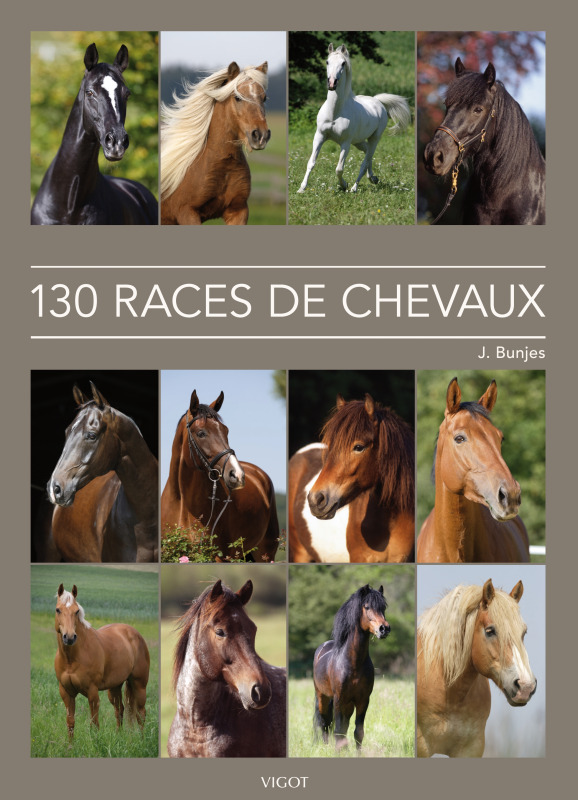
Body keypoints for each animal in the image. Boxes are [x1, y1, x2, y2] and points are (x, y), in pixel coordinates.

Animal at [54, 584, 150, 739]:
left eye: (76, 611)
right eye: (58, 610)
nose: (69, 637)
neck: (71, 659)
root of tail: (134, 633)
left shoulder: (92, 692)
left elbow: (94, 724)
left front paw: (95, 742)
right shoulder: (66, 693)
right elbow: (70, 723)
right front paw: (70, 745)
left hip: (139, 685)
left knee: (140, 714)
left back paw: (142, 740)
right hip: (114, 688)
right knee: (120, 710)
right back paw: (119, 736)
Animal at [161, 390, 279, 562]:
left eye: (226, 430)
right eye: (201, 433)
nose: (237, 475)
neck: (182, 505)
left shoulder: (218, 556)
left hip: (265, 553)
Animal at [298, 44, 411, 193]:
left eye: (343, 63)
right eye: (327, 61)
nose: (332, 83)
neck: (335, 113)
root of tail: (377, 101)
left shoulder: (345, 143)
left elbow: (339, 169)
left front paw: (343, 185)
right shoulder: (319, 136)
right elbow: (311, 163)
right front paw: (301, 188)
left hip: (374, 138)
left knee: (365, 160)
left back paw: (354, 188)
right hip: (358, 141)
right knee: (368, 154)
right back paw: (373, 178)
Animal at [313, 584, 390, 750]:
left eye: (383, 607)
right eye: (367, 606)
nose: (384, 629)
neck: (353, 664)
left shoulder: (363, 700)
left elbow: (357, 732)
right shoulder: (339, 699)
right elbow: (337, 731)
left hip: (348, 705)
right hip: (322, 697)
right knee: (323, 723)